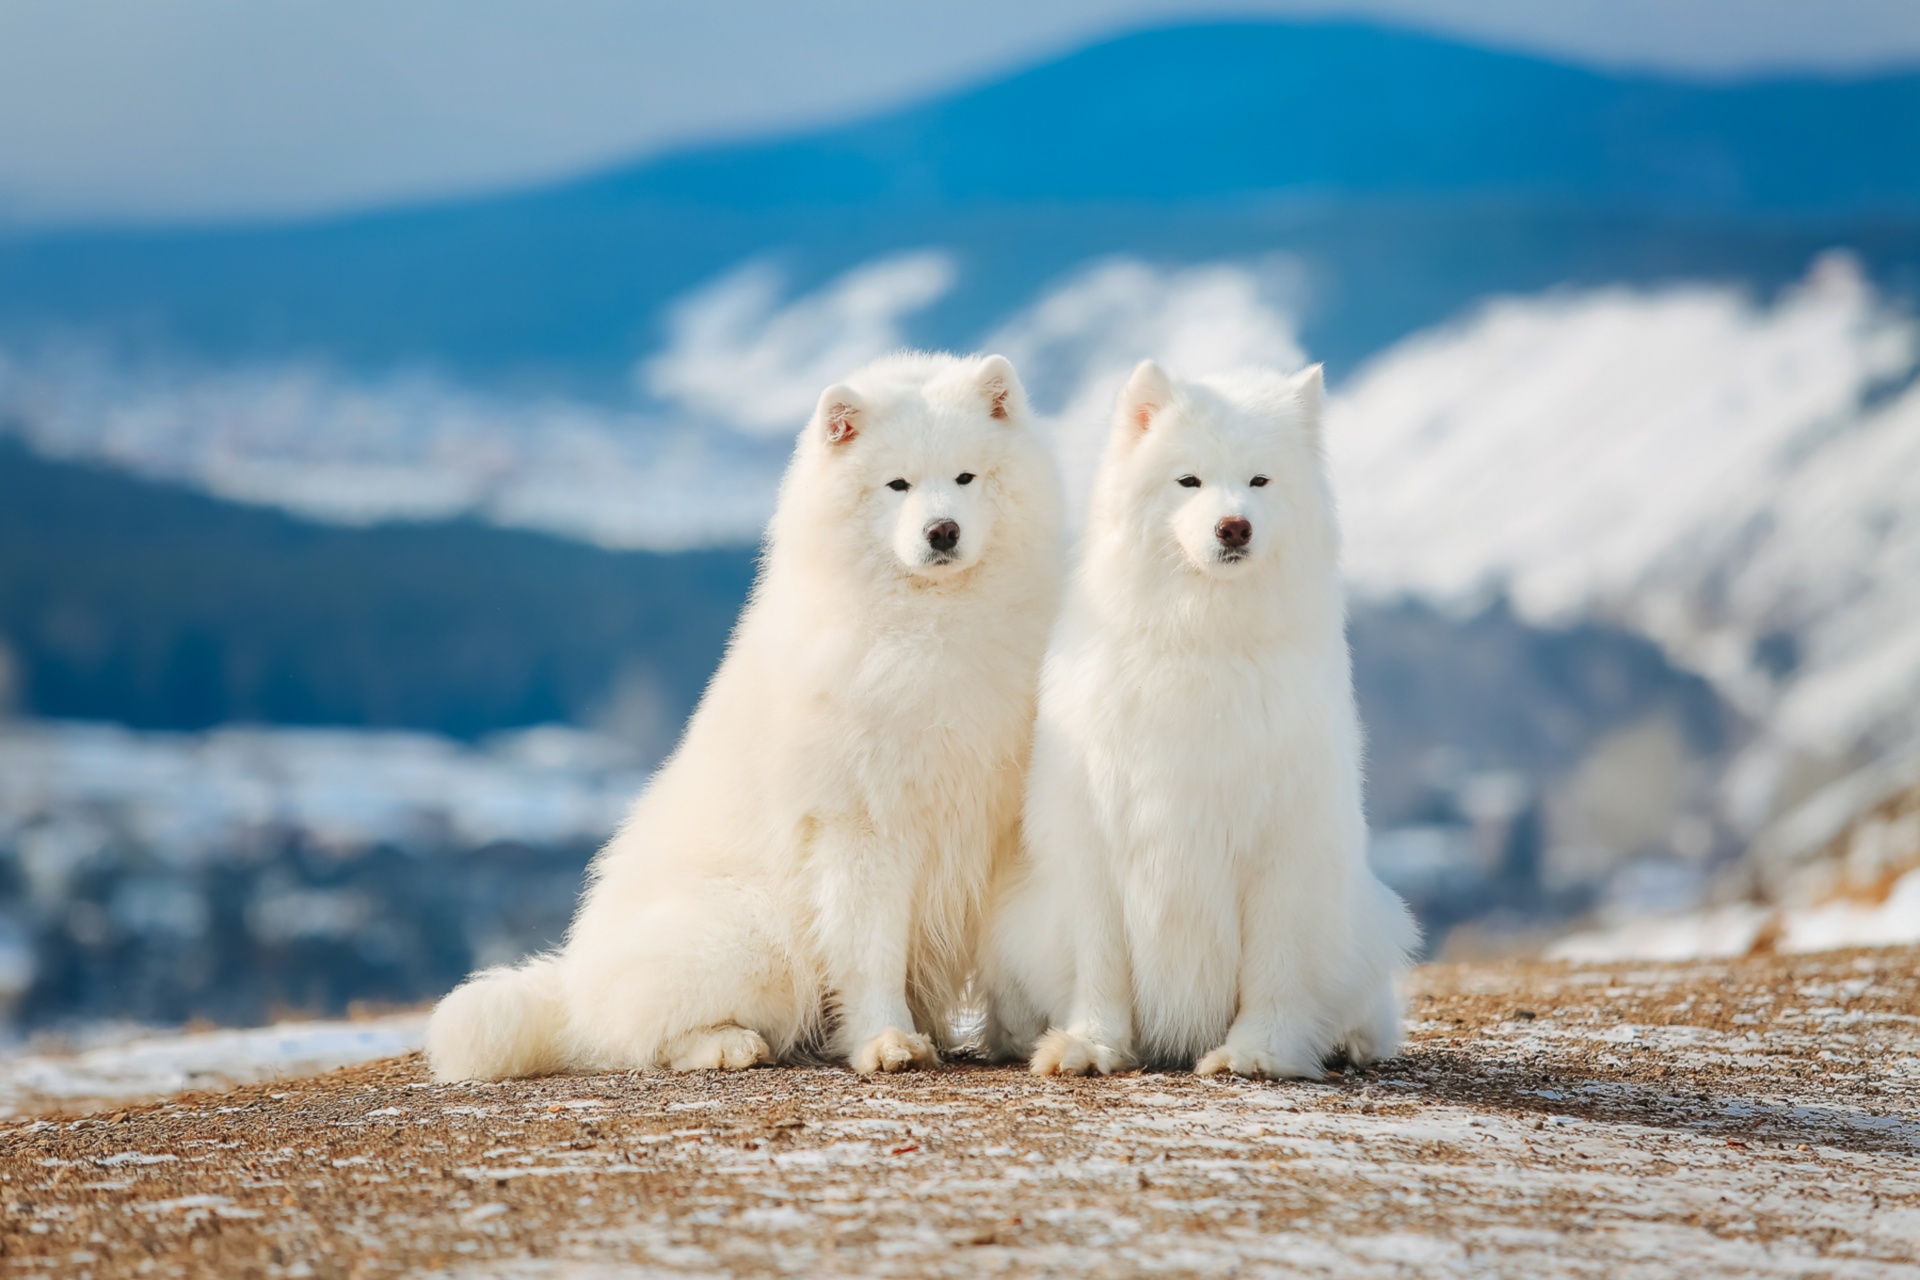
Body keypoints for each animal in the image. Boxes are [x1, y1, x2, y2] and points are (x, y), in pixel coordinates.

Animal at [430, 353, 1067, 1082]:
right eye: (897, 484)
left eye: (966, 477)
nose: (943, 531)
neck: (934, 628)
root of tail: (572, 984)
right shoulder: (862, 825)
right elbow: (869, 953)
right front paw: (887, 1042)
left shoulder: (998, 822)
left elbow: (1009, 946)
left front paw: (1024, 1036)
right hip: (755, 935)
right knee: (628, 1036)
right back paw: (728, 1045)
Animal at [990, 360, 1413, 1082]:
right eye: (1188, 480)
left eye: (1260, 481)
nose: (1233, 527)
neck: (1202, 640)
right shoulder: (1093, 839)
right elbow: (1101, 963)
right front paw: (1092, 1044)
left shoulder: (1284, 844)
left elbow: (1274, 967)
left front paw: (1258, 1053)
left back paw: (1349, 1040)